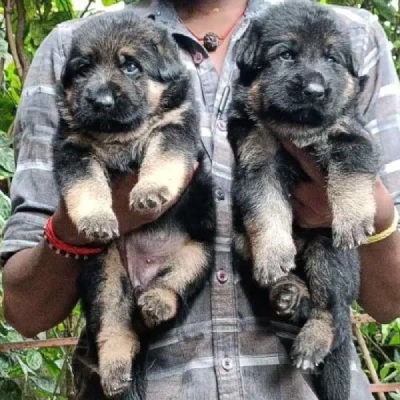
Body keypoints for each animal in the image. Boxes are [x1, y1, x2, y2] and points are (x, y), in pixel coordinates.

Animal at [54, 10, 216, 400]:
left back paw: (157, 301)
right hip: (106, 276)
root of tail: (142, 281)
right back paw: (114, 370)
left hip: (198, 253)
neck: (119, 133)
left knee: (175, 285)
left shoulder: (173, 129)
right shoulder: (73, 149)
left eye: (130, 66)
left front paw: (150, 191)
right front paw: (97, 219)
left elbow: (163, 158)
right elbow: (86, 185)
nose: (100, 101)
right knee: (113, 327)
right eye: (83, 69)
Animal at [228, 1, 382, 398]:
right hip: (238, 239)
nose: (314, 90)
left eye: (331, 58)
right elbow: (266, 210)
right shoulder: (258, 161)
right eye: (286, 55)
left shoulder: (351, 138)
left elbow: (349, 177)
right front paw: (272, 255)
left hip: (327, 253)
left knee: (330, 310)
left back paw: (313, 337)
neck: (298, 129)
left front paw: (353, 220)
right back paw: (288, 291)